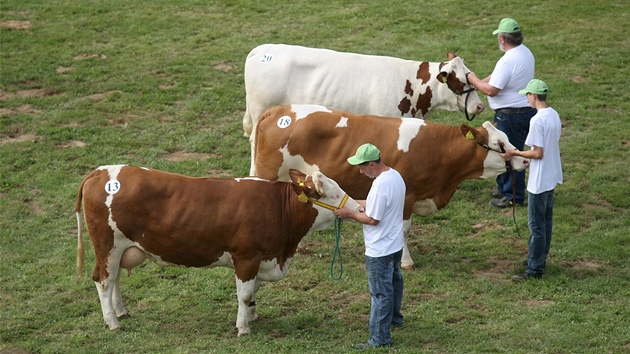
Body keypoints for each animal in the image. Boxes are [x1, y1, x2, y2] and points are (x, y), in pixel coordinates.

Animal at [74, 165, 360, 336]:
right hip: (107, 245)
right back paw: (113, 322)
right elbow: (245, 294)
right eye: (332, 195)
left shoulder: (260, 259)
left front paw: (253, 315)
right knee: (103, 280)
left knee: (114, 280)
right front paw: (243, 328)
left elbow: (254, 290)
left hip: (118, 248)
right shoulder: (246, 257)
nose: (358, 207)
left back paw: (121, 311)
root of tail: (101, 171)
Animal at [244, 43, 486, 175]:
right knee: (254, 142)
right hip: (261, 112)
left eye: (471, 75)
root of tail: (263, 49)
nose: (480, 105)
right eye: (460, 82)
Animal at [254, 104, 532, 268]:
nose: (525, 160)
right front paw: (406, 261)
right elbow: (404, 229)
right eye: (500, 145)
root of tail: (279, 110)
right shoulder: (407, 195)